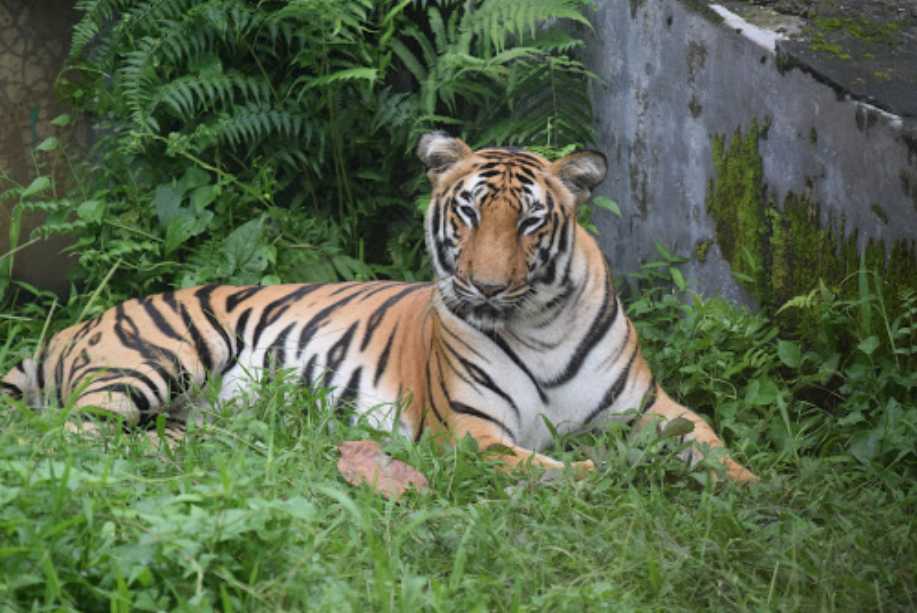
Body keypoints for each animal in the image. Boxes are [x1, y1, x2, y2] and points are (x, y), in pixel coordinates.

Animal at [1, 134, 760, 482]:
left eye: (528, 222)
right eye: (468, 212)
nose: (486, 288)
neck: (539, 323)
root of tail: (73, 326)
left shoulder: (650, 407)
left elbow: (713, 446)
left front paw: (759, 495)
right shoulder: (471, 433)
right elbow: (567, 471)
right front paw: (624, 479)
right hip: (161, 354)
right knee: (70, 435)